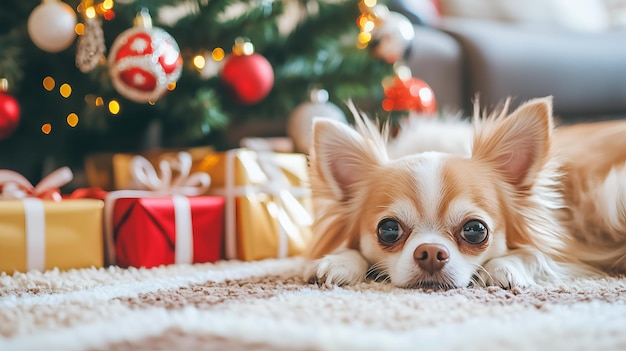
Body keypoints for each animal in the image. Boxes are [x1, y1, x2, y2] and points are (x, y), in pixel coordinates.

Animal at [304, 97, 624, 290]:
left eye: (475, 230)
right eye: (389, 230)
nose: (431, 253)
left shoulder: (569, 249)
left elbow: (534, 252)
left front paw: (505, 266)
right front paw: (338, 261)